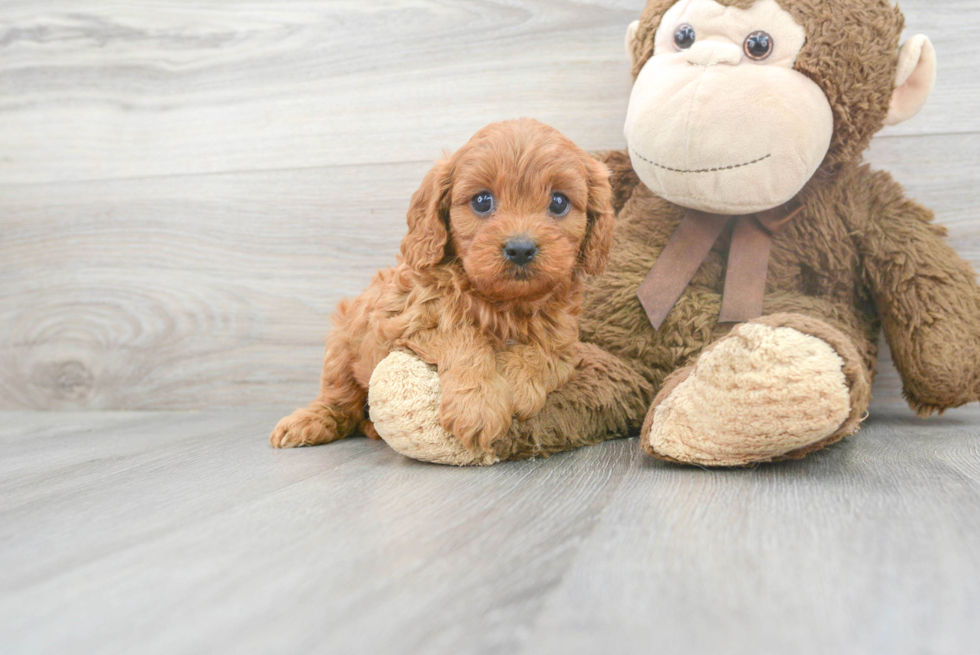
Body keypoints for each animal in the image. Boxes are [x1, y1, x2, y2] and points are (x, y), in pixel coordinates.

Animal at [272, 118, 616, 454]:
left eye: (559, 202)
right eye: (482, 201)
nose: (520, 249)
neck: (504, 302)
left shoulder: (565, 340)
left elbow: (544, 351)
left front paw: (516, 385)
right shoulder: (405, 319)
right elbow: (463, 336)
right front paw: (477, 405)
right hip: (343, 345)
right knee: (339, 401)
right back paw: (308, 422)